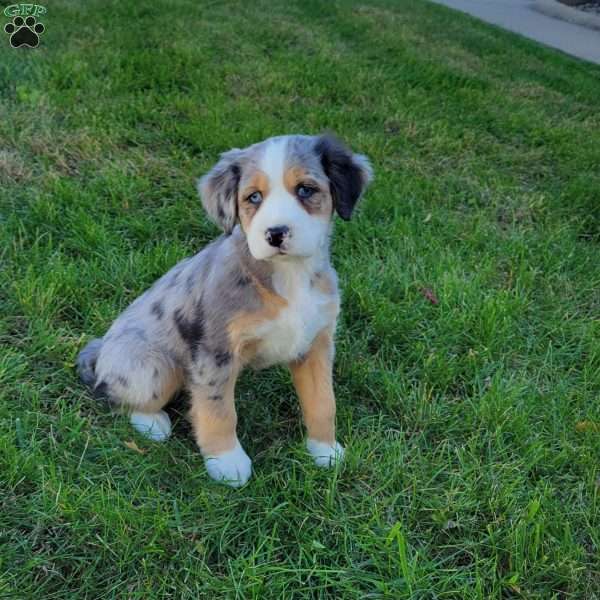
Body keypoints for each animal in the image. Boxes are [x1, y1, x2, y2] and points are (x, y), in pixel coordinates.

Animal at [77, 134, 372, 486]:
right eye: (253, 197)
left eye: (305, 189)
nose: (275, 234)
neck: (290, 276)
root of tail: (101, 349)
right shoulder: (214, 352)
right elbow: (219, 410)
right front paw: (227, 463)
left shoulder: (316, 344)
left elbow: (323, 402)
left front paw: (325, 450)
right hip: (154, 368)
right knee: (116, 395)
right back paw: (154, 424)